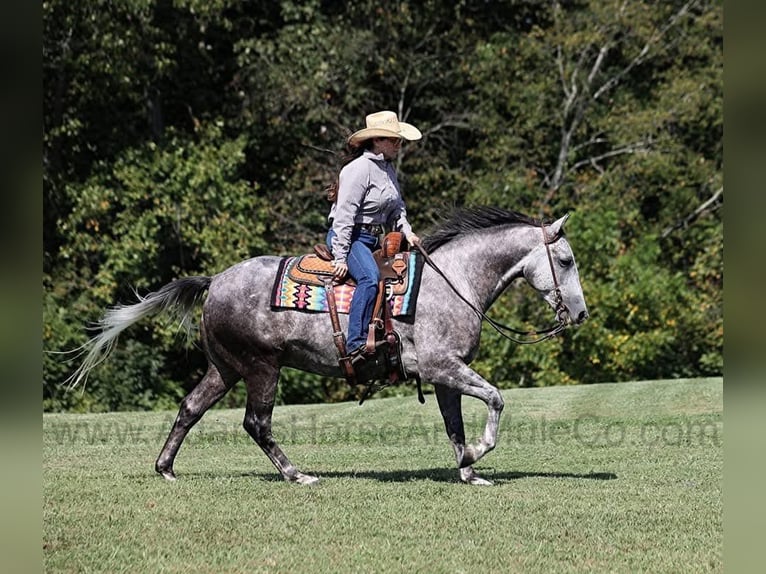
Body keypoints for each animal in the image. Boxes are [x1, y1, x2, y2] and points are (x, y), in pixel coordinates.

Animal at [65, 206, 588, 486]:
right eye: (564, 260)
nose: (580, 314)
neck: (452, 282)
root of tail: (214, 280)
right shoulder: (442, 367)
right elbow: (495, 401)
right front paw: (480, 454)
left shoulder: (446, 375)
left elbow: (454, 426)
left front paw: (467, 470)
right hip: (261, 368)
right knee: (256, 422)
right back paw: (296, 474)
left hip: (225, 368)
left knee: (190, 407)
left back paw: (166, 468)